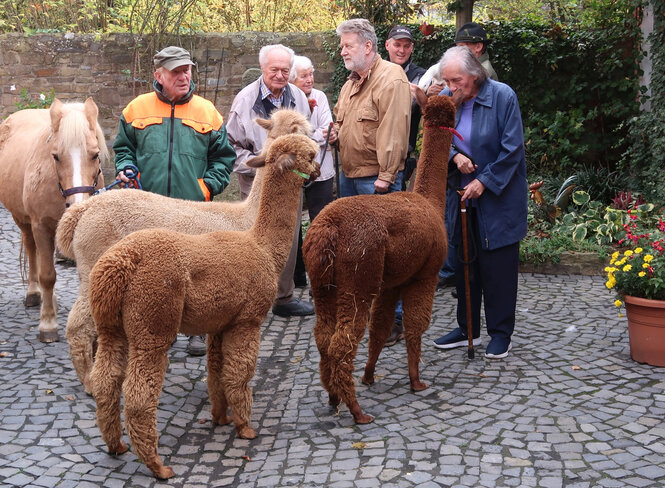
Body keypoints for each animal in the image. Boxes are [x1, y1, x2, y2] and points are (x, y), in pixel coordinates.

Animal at [0, 98, 106, 344]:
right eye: (56, 156)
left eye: (95, 154)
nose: (77, 206)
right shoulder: (40, 225)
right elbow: (47, 275)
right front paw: (48, 324)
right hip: (23, 220)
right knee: (32, 250)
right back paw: (34, 293)